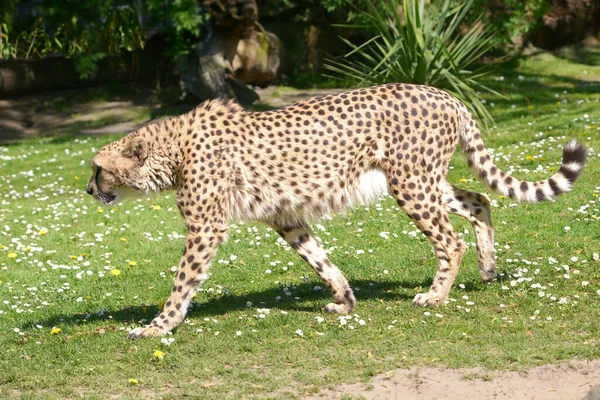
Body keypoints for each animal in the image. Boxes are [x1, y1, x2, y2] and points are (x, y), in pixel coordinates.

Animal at [86, 83, 588, 338]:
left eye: (98, 168)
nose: (89, 190)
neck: (171, 150)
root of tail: (445, 92)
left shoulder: (205, 227)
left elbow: (182, 282)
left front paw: (158, 325)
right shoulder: (285, 218)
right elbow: (319, 260)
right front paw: (344, 300)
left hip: (411, 184)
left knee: (450, 239)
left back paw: (436, 295)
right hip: (422, 180)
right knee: (480, 201)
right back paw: (488, 269)